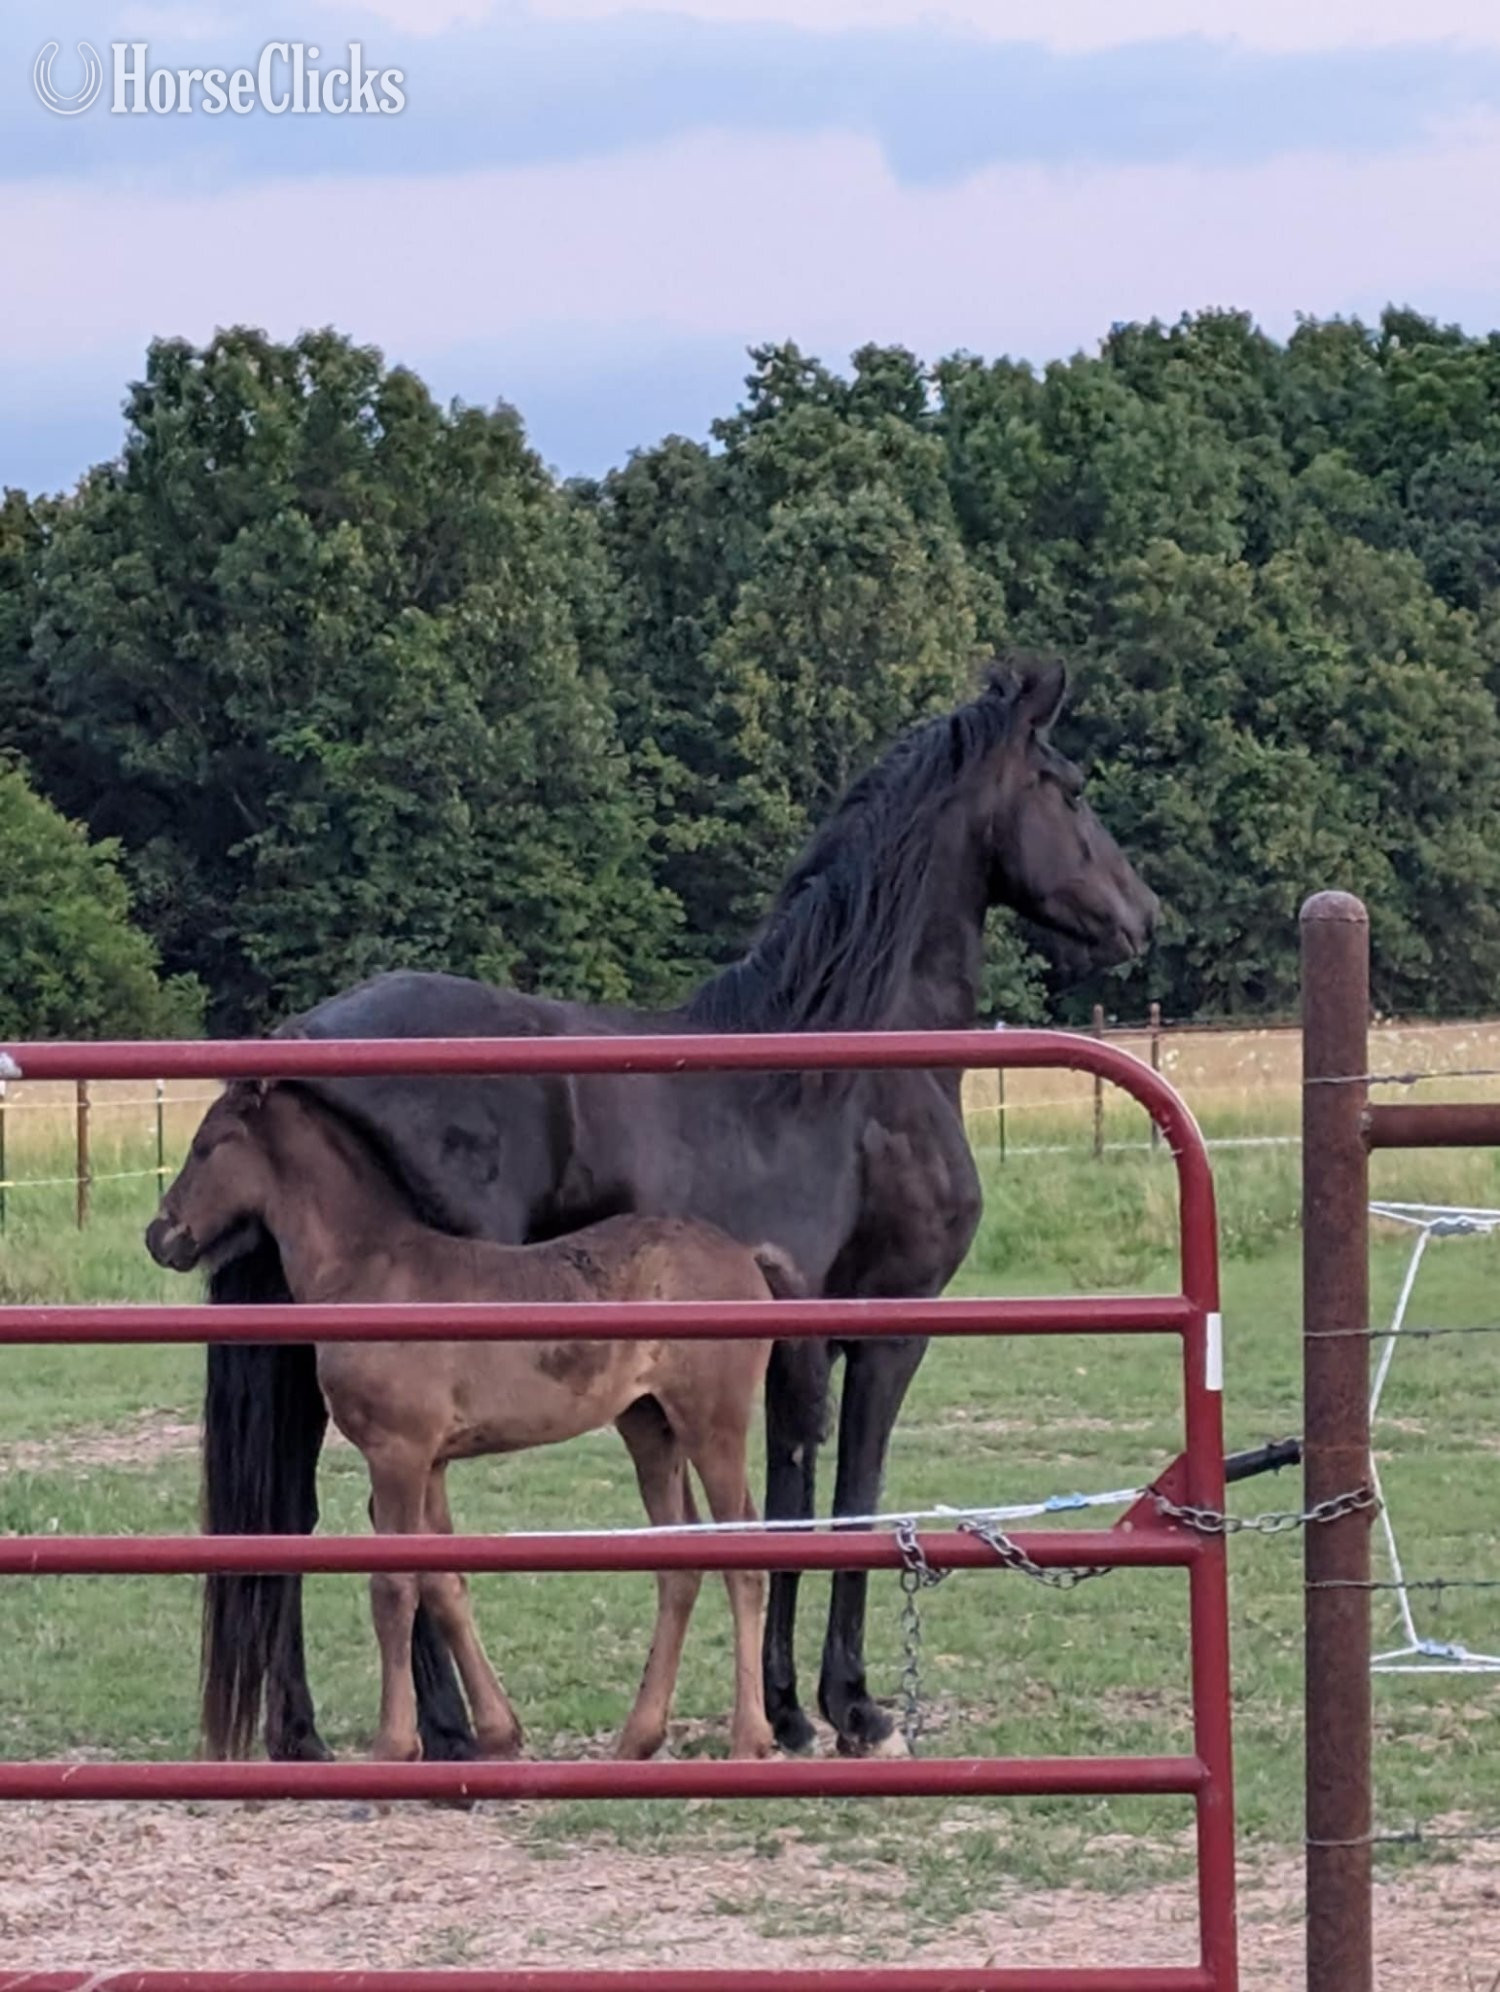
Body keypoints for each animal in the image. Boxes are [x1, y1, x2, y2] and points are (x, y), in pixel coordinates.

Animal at [151, 1079, 796, 1764]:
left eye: (209, 1144)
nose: (159, 1235)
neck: (367, 1271)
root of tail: (745, 1254)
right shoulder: (431, 1460)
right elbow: (444, 1583)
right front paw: (497, 1731)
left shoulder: (398, 1453)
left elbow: (393, 1588)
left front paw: (393, 1745)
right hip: (650, 1427)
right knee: (679, 1563)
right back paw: (638, 1736)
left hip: (712, 1423)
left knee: (743, 1555)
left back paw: (750, 1737)